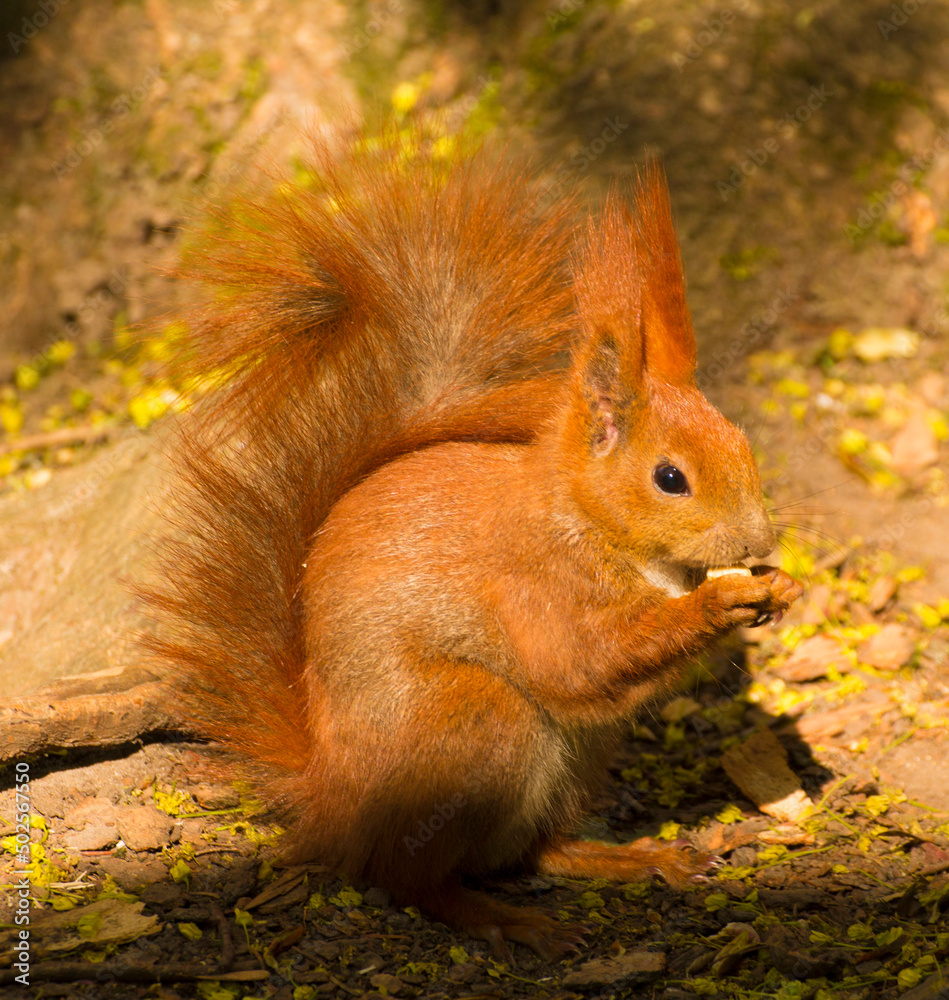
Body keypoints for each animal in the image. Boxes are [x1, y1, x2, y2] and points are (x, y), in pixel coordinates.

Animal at [142, 132, 804, 962]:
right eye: (669, 478)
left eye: (742, 442)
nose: (757, 538)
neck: (587, 520)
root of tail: (331, 797)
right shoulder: (532, 585)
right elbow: (577, 664)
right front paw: (724, 599)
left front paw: (779, 585)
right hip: (475, 723)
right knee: (406, 876)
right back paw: (502, 918)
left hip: (577, 758)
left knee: (527, 853)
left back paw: (630, 859)